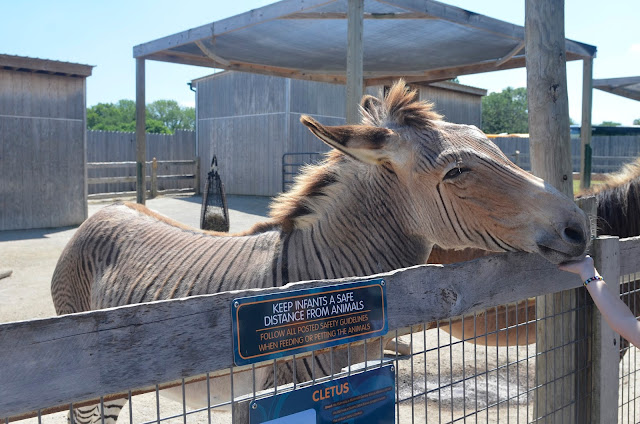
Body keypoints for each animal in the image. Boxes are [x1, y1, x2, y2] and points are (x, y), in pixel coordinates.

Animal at [51, 80, 589, 423]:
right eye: (456, 171)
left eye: (492, 145)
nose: (580, 227)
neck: (323, 283)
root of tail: (109, 210)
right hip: (93, 388)